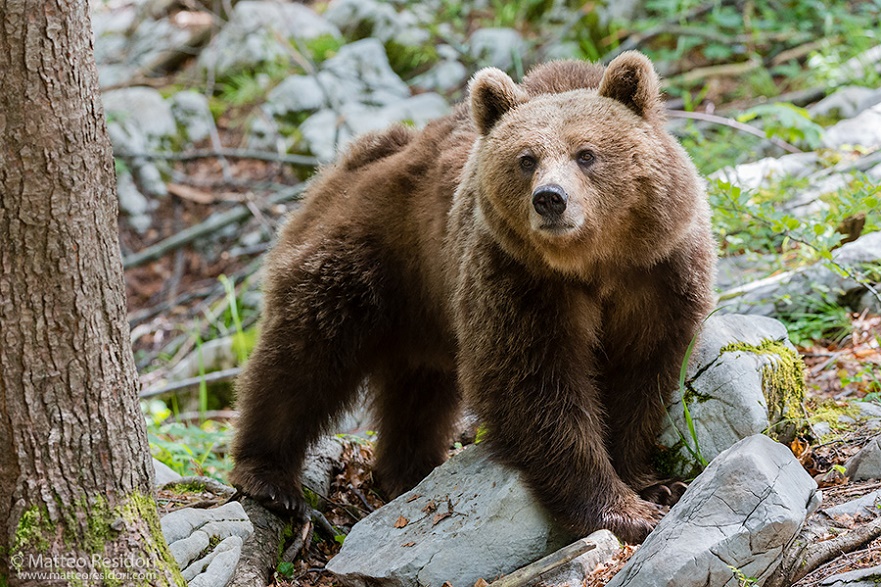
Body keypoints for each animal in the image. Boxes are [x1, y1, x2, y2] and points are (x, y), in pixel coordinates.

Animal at [229, 52, 716, 544]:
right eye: (526, 159)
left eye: (586, 154)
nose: (550, 199)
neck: (591, 263)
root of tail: (346, 162)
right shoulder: (519, 279)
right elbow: (534, 384)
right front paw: (620, 508)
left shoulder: (657, 275)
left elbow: (640, 376)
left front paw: (651, 483)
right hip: (369, 260)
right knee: (305, 357)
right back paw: (270, 478)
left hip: (425, 308)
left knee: (417, 391)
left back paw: (409, 470)